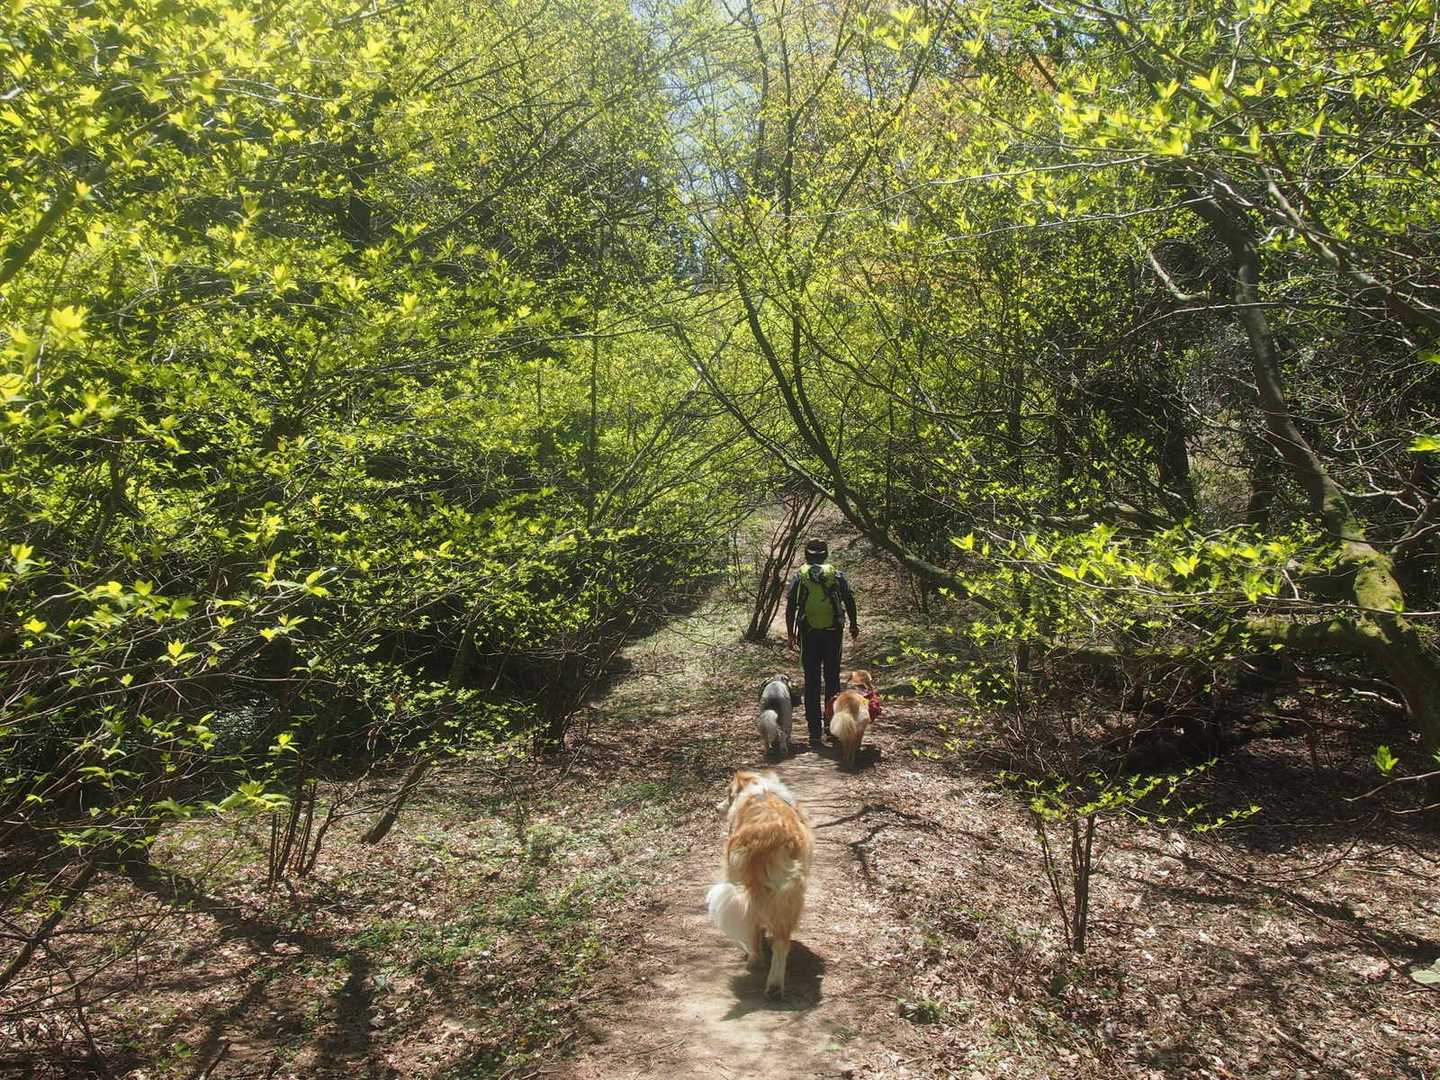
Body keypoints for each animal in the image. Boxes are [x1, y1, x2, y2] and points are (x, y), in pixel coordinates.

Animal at [706, 769, 814, 996]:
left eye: (729, 794)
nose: (715, 808)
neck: (758, 789)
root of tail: (768, 836)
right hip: (789, 897)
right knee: (781, 942)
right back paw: (774, 985)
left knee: (753, 925)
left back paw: (755, 959)